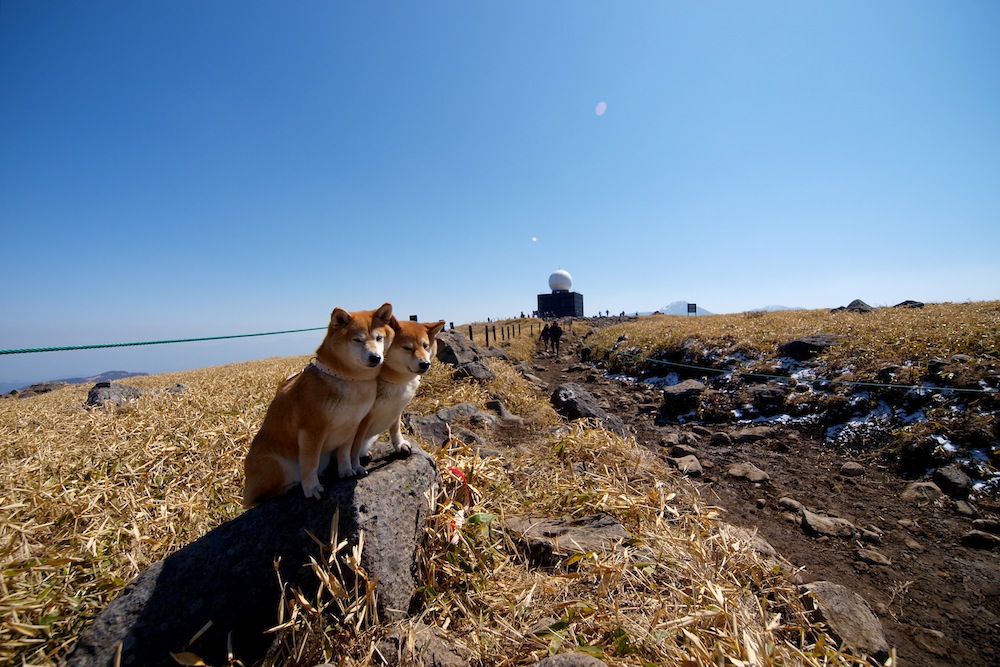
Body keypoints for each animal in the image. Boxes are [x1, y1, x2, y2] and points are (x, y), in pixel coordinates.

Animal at [242, 302, 394, 506]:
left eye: (379, 338)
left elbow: (344, 452)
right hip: (275, 464)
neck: (348, 380)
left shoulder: (352, 425)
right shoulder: (312, 431)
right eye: (357, 340)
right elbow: (310, 463)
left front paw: (346, 471)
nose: (375, 357)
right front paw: (312, 488)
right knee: (258, 498)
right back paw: (291, 486)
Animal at [352, 318, 446, 474]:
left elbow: (395, 428)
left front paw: (400, 444)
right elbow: (355, 443)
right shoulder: (362, 419)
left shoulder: (396, 408)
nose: (425, 364)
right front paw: (353, 466)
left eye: (425, 346)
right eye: (407, 348)